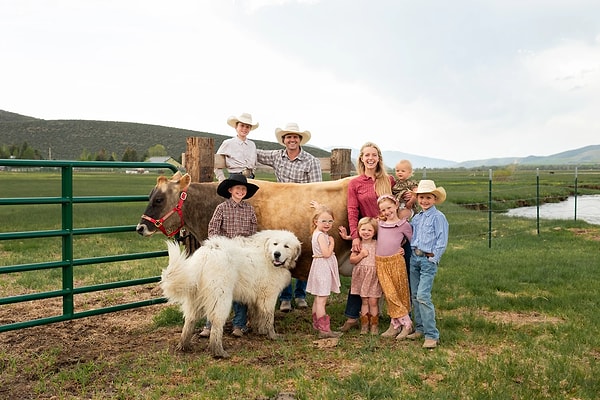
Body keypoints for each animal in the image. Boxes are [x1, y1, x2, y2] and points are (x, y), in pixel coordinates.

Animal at [161, 230, 302, 358]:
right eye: (275, 244)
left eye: (286, 246)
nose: (277, 254)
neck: (267, 254)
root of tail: (206, 254)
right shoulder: (268, 296)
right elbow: (269, 317)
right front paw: (272, 335)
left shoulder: (257, 297)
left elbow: (258, 315)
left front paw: (260, 331)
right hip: (221, 298)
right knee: (216, 325)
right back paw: (218, 351)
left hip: (195, 298)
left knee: (189, 321)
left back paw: (184, 345)